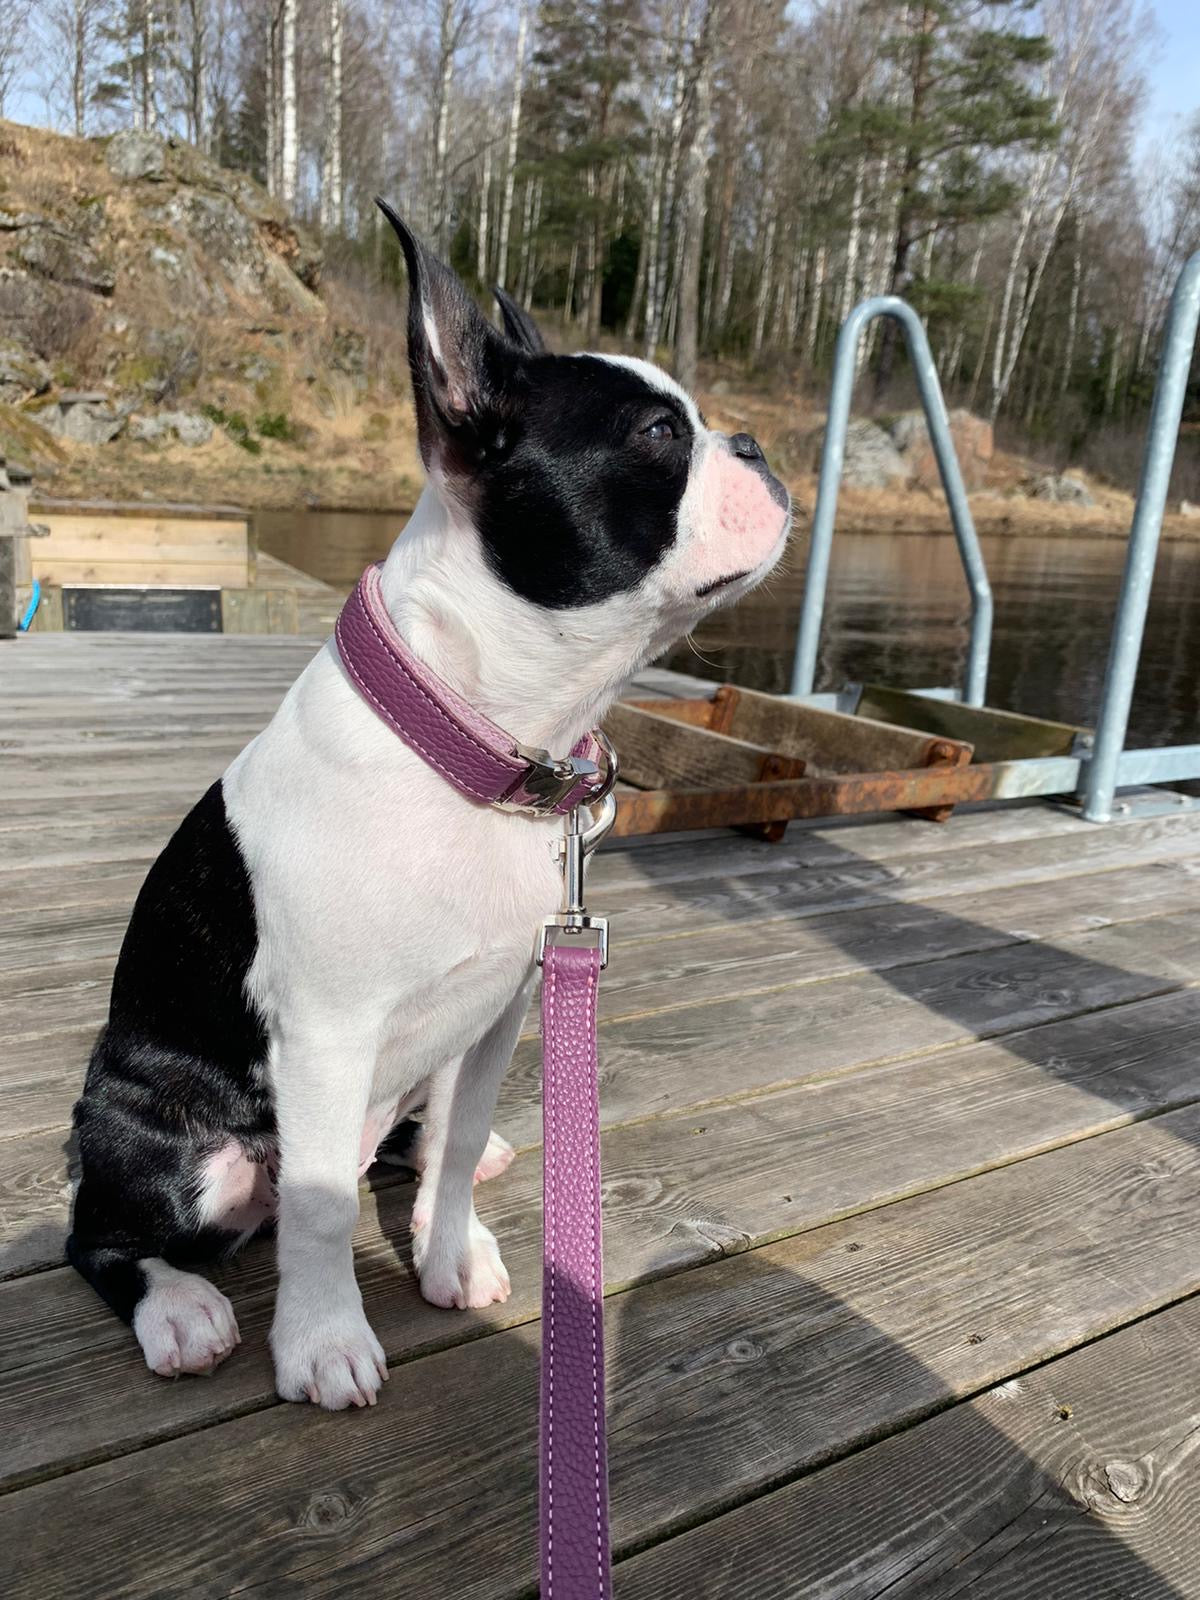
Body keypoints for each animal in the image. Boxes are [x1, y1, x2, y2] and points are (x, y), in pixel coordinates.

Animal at [70, 203, 793, 1414]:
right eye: (659, 434)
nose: (759, 447)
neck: (477, 744)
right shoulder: (324, 1032)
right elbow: (319, 1213)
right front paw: (322, 1342)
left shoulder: (495, 1012)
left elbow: (452, 1149)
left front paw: (449, 1251)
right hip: (174, 1150)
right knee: (104, 1235)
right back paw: (178, 1307)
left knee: (415, 1143)